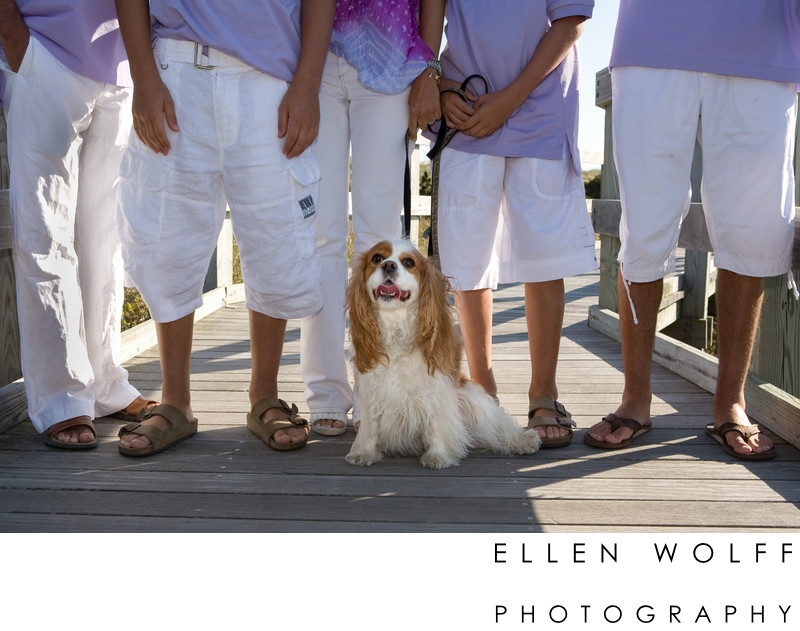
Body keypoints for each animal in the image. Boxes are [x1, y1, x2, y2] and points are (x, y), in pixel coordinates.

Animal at [346, 239, 544, 472]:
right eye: (377, 258)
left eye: (408, 262)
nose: (388, 265)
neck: (396, 328)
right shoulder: (373, 391)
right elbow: (371, 425)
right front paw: (364, 452)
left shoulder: (437, 390)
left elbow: (436, 422)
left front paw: (437, 456)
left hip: (470, 398)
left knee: (499, 424)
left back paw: (524, 440)